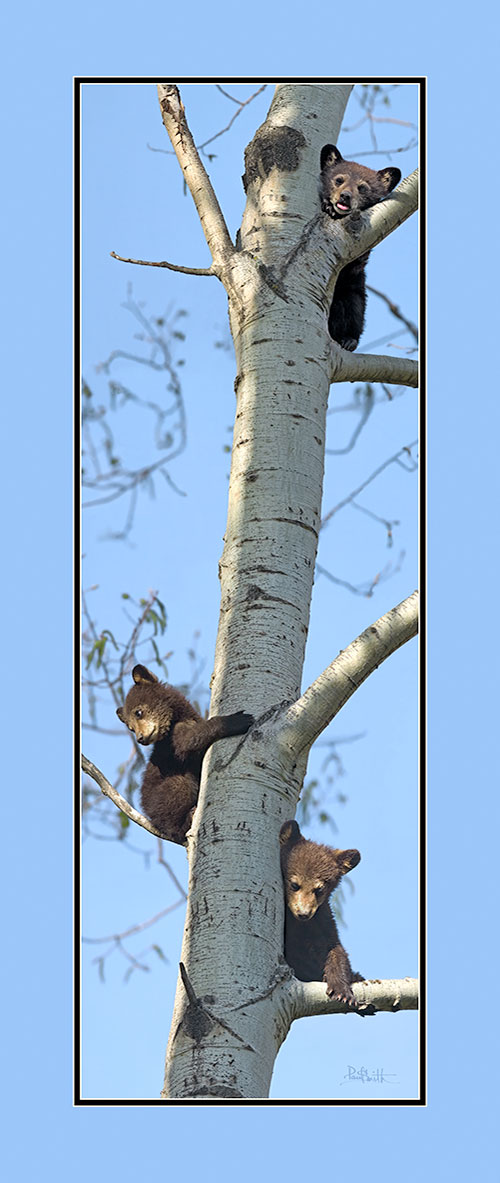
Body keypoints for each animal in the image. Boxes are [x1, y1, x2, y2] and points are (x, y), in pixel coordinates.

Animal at [116, 664, 254, 845]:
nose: (140, 738)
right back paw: (187, 819)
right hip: (161, 799)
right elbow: (189, 742)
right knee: (179, 789)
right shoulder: (173, 743)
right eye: (131, 728)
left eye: (138, 712)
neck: (179, 717)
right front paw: (236, 720)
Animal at [279, 819, 364, 1007]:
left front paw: (342, 990)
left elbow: (335, 948)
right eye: (294, 884)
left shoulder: (322, 919)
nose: (303, 913)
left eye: (319, 889)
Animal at [320, 143, 401, 351]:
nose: (345, 197)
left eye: (362, 187)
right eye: (338, 180)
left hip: (353, 293)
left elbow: (356, 261)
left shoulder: (362, 247)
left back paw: (349, 340)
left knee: (353, 309)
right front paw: (328, 205)